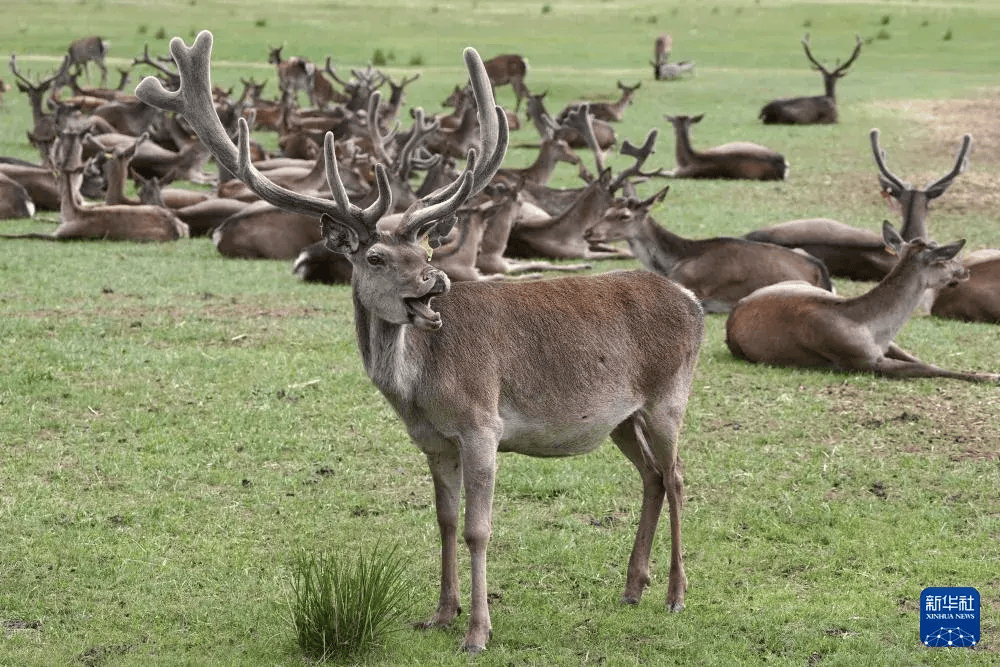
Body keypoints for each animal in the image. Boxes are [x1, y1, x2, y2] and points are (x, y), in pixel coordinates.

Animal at [137, 30, 708, 652]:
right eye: (376, 256)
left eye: (428, 249)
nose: (436, 281)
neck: (418, 392)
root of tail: (693, 303)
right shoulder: (433, 442)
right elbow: (446, 521)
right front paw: (441, 613)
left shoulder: (483, 425)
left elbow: (480, 529)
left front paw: (478, 631)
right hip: (621, 417)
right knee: (652, 476)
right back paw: (633, 587)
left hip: (668, 397)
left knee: (678, 476)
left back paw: (677, 594)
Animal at [584, 185, 832, 314]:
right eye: (606, 210)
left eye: (624, 216)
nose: (588, 232)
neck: (672, 261)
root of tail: (819, 271)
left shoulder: (691, 284)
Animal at [728, 222, 1000, 384]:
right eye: (944, 258)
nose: (965, 271)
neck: (870, 327)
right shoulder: (859, 359)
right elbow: (926, 368)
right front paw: (991, 376)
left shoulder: (884, 346)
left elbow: (920, 360)